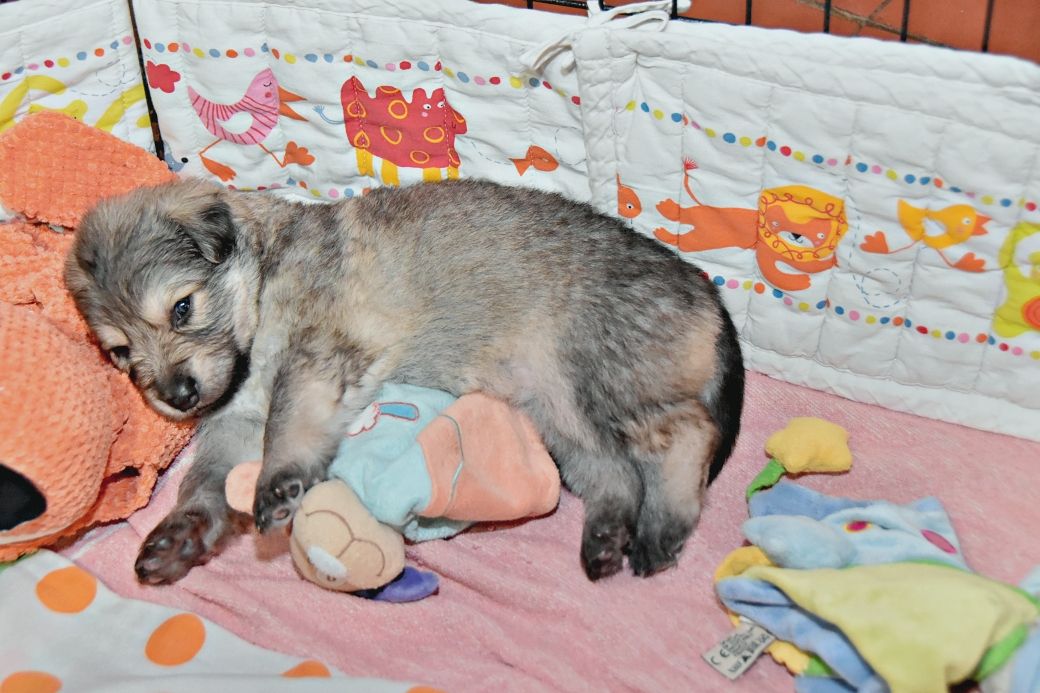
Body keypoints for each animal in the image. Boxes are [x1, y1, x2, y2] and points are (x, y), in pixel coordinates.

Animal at [65, 178, 745, 585]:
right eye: (121, 353)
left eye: (182, 309)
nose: (177, 396)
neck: (264, 275)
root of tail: (708, 297)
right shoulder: (233, 423)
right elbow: (202, 485)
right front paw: (180, 536)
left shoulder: (314, 355)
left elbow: (289, 421)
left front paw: (278, 482)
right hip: (561, 413)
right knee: (616, 475)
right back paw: (606, 536)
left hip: (604, 373)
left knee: (687, 432)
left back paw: (663, 530)